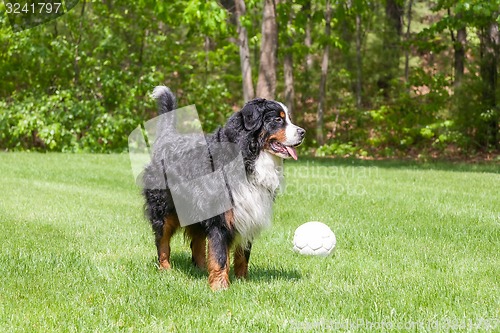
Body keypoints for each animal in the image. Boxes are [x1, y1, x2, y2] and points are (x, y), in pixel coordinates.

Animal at [142, 87, 304, 290]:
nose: (303, 132)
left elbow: (241, 255)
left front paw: (242, 281)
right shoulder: (221, 217)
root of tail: (168, 137)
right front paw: (220, 287)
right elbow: (219, 255)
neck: (247, 156)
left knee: (197, 242)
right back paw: (165, 270)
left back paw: (201, 269)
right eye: (277, 119)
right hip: (163, 209)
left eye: (288, 118)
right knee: (162, 241)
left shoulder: (248, 213)